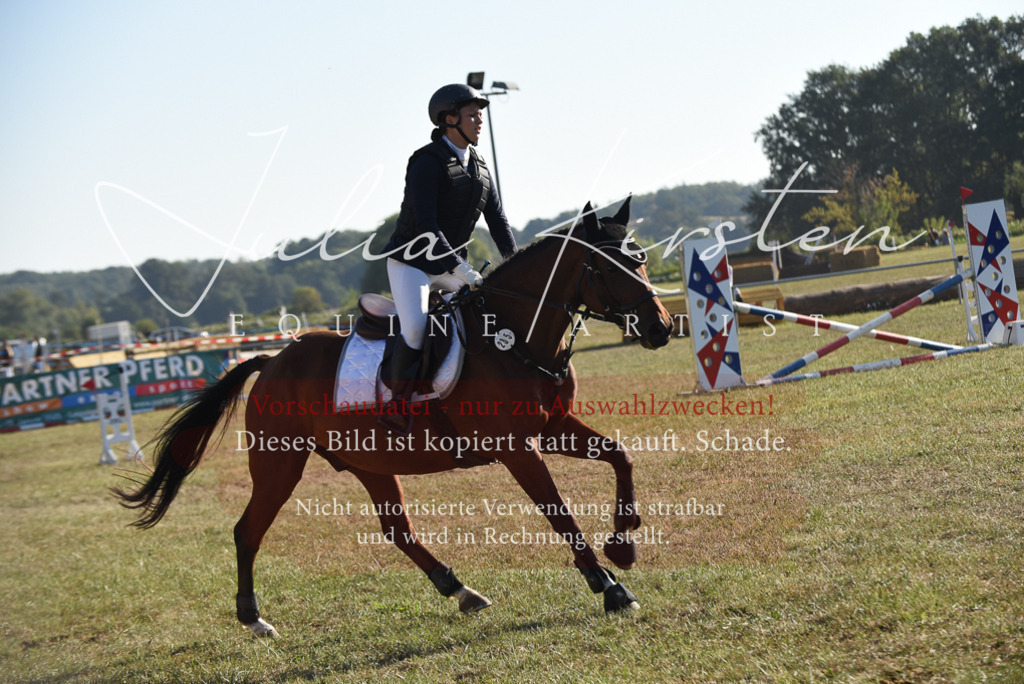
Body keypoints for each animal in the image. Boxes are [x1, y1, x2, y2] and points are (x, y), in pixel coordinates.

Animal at [115, 197, 673, 637]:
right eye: (614, 268)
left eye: (642, 259)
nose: (662, 328)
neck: (514, 337)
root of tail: (271, 360)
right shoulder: (518, 449)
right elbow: (558, 513)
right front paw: (610, 587)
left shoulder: (552, 429)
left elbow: (620, 456)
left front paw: (623, 546)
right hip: (279, 464)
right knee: (247, 531)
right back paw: (254, 618)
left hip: (369, 461)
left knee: (395, 528)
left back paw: (460, 589)